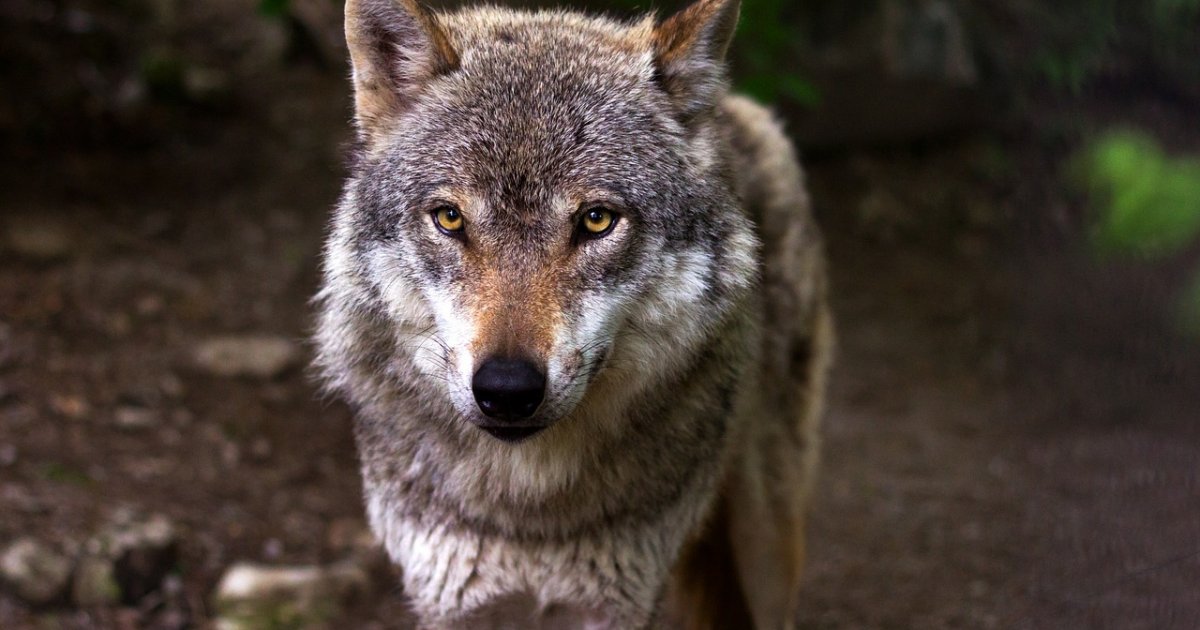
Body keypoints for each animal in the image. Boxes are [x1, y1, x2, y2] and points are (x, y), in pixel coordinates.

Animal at [314, 0, 830, 624]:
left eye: (596, 220)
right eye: (450, 218)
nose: (507, 388)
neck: (529, 511)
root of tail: (732, 107)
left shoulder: (621, 603)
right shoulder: (447, 600)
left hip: (768, 541)